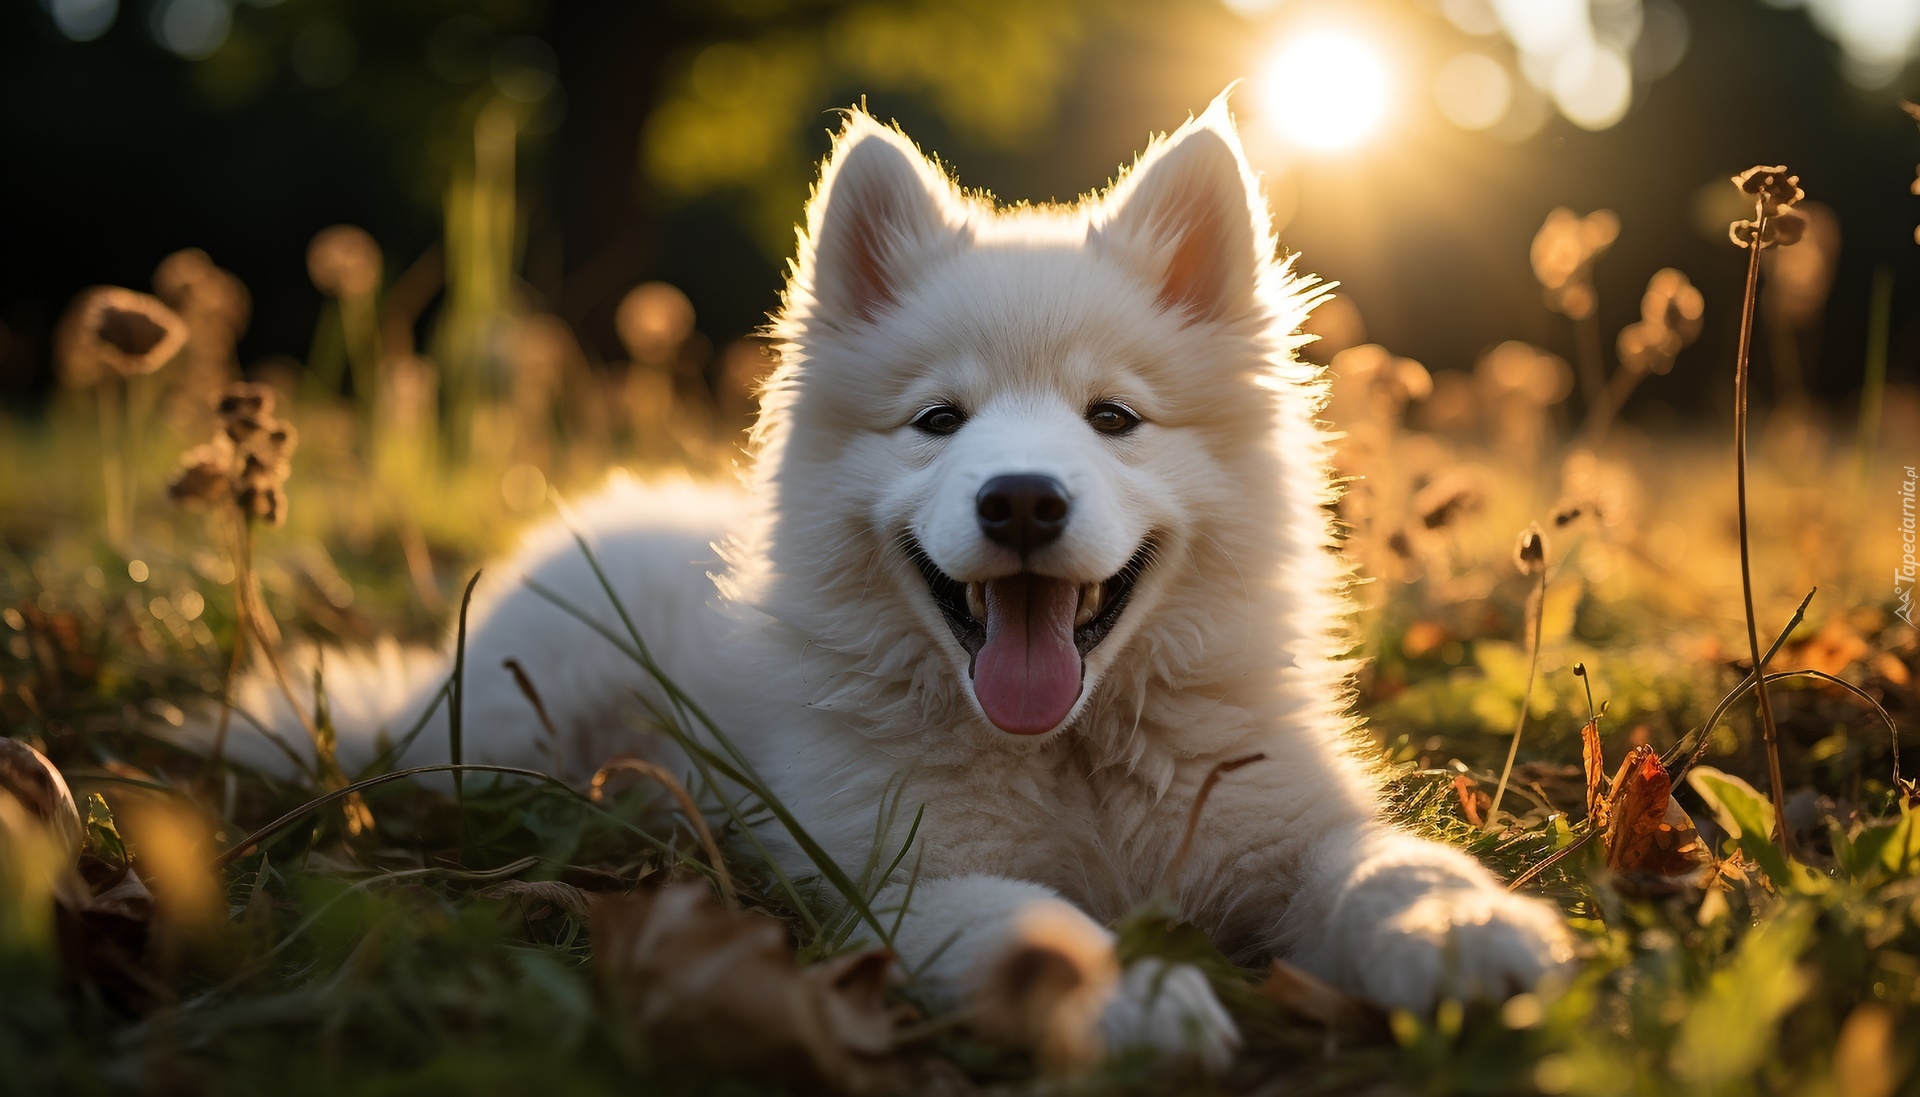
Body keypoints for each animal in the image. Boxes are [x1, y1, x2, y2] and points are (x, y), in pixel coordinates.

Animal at [224, 100, 1574, 1068]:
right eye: (938, 420)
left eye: (1113, 417)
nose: (1021, 499)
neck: (1071, 754)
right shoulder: (897, 872)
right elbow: (1028, 923)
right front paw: (1130, 995)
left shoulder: (1287, 824)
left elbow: (1386, 858)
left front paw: (1460, 928)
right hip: (509, 735)